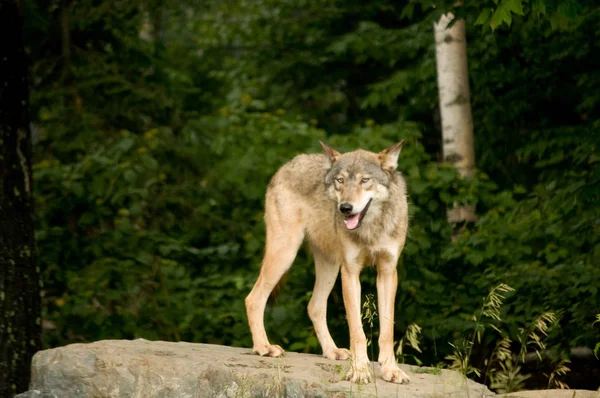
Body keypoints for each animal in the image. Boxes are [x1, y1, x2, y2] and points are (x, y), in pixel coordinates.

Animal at [244, 141, 408, 384]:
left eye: (364, 180)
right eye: (340, 180)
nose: (345, 208)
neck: (370, 229)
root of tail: (286, 165)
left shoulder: (388, 272)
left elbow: (387, 331)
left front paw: (390, 370)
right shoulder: (350, 272)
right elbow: (357, 332)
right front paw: (360, 371)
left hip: (329, 266)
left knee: (314, 306)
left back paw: (332, 351)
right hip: (285, 254)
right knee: (253, 299)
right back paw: (263, 347)